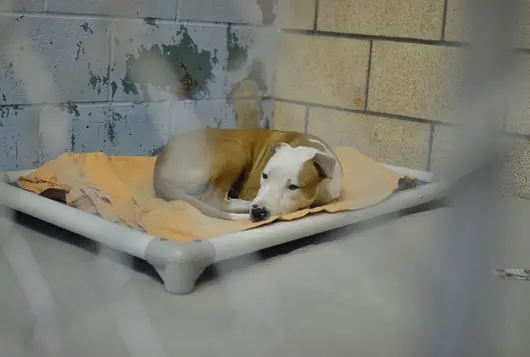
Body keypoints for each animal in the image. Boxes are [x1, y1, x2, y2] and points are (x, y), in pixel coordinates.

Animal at [153, 126, 342, 221]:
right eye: (264, 176)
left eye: (293, 186)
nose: (258, 211)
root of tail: (159, 164)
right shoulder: (251, 190)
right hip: (236, 150)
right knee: (214, 199)